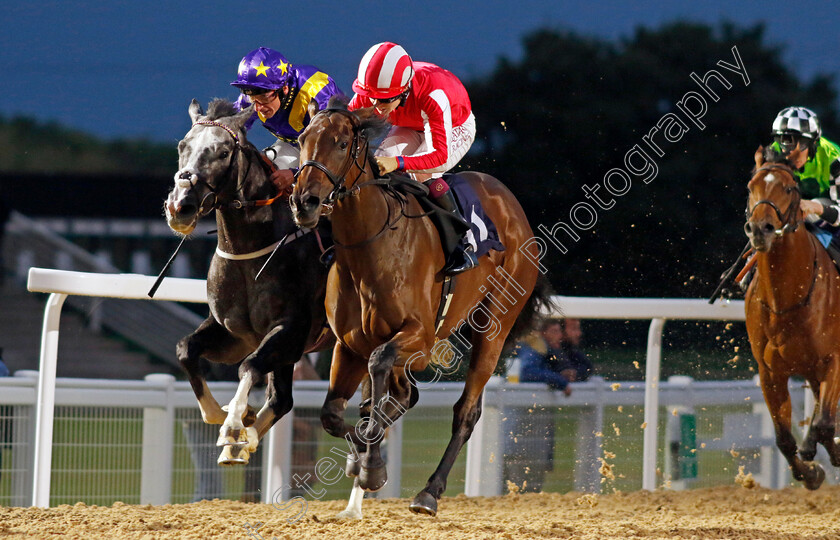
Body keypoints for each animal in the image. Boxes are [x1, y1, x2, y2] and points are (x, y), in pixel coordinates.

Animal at [162, 99, 334, 466]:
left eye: (223, 151)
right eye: (183, 146)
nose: (180, 206)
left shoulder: (291, 330)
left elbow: (250, 365)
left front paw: (233, 425)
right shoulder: (234, 333)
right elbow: (186, 349)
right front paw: (226, 417)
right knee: (283, 399)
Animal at [292, 103, 548, 516]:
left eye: (342, 142)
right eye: (301, 139)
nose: (304, 202)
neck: (371, 247)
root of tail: (512, 206)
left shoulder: (421, 339)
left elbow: (378, 369)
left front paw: (371, 466)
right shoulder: (348, 345)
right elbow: (334, 413)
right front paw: (362, 458)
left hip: (494, 325)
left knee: (465, 411)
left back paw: (429, 492)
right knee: (403, 397)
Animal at [744, 146, 840, 492]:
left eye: (788, 188)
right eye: (751, 186)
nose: (760, 228)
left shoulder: (833, 359)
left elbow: (824, 424)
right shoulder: (771, 372)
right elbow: (784, 439)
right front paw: (811, 473)